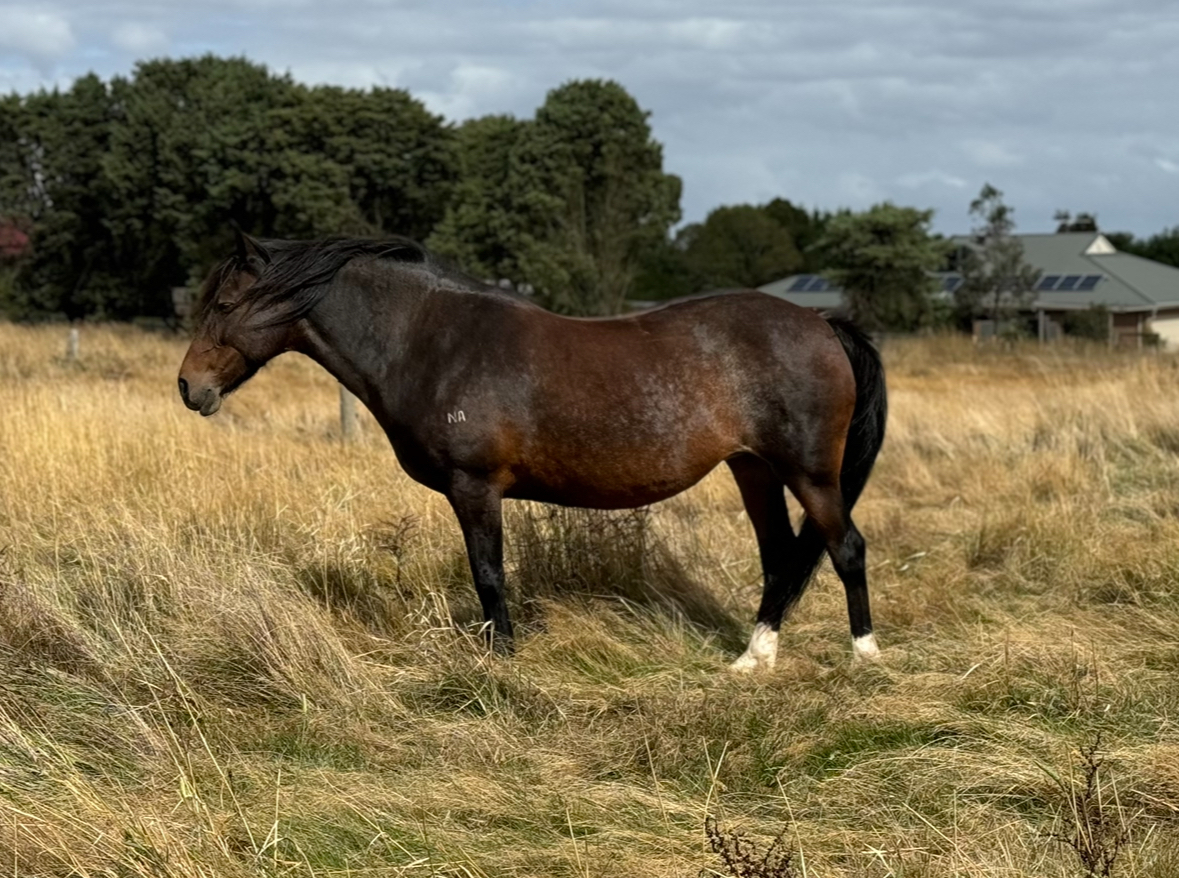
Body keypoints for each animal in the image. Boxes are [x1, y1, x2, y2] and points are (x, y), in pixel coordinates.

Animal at [178, 228, 887, 670]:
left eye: (226, 301)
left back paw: (865, 657)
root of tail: (820, 321)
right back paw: (752, 660)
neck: (431, 341)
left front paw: (502, 665)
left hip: (809, 473)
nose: (189, 386)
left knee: (845, 547)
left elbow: (489, 576)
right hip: (754, 470)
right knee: (780, 558)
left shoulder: (474, 486)